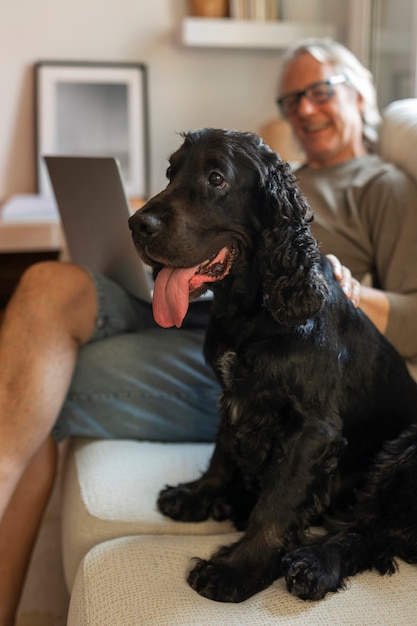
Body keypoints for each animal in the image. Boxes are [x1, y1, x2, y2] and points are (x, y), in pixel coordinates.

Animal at [128, 129, 416, 604]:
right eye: (171, 172)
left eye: (216, 178)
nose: (137, 225)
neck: (257, 309)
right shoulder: (232, 396)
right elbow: (222, 450)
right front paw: (200, 494)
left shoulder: (313, 429)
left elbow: (278, 503)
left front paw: (236, 569)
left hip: (405, 452)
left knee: (373, 530)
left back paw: (315, 562)